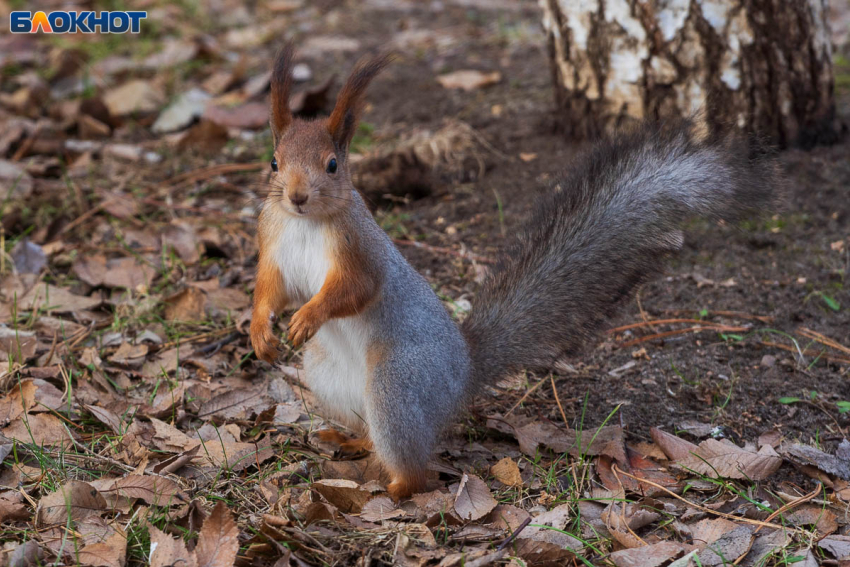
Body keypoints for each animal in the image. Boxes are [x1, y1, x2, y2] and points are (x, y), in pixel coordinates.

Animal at [248, 45, 780, 502]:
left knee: (416, 464)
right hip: (327, 378)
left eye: (332, 165)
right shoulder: (273, 241)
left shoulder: (359, 251)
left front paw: (308, 315)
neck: (305, 223)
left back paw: (396, 487)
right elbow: (271, 289)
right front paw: (261, 332)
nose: (296, 196)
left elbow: (355, 290)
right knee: (372, 430)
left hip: (399, 384)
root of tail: (464, 373)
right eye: (273, 162)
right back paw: (355, 443)